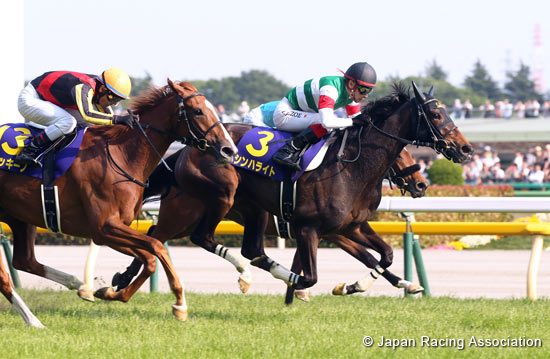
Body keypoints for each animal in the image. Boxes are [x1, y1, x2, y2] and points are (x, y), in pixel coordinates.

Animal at [0, 80, 236, 328]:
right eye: (198, 111)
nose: (228, 149)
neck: (122, 154)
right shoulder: (105, 227)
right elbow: (157, 248)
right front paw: (180, 303)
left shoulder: (110, 231)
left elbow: (149, 256)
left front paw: (111, 290)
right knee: (6, 277)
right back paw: (34, 319)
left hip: (19, 217)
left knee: (25, 261)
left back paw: (77, 289)